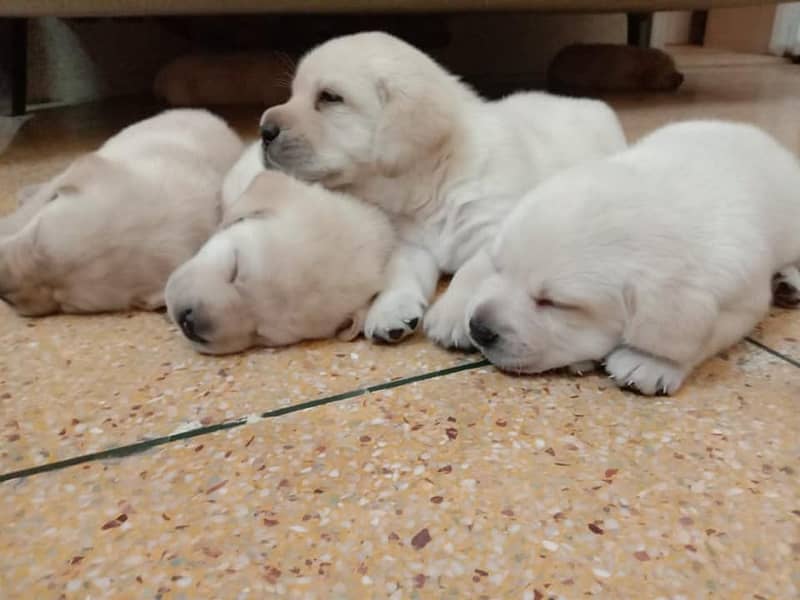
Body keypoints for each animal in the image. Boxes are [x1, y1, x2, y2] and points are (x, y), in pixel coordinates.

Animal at [256, 30, 624, 344]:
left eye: (330, 98)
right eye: (293, 94)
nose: (264, 131)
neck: (433, 182)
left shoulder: (492, 231)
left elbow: (471, 272)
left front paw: (452, 315)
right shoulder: (411, 244)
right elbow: (399, 273)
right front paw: (390, 310)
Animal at [456, 119, 800, 396]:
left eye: (554, 303)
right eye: (499, 267)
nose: (478, 328)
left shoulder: (744, 300)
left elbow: (701, 334)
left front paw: (649, 362)